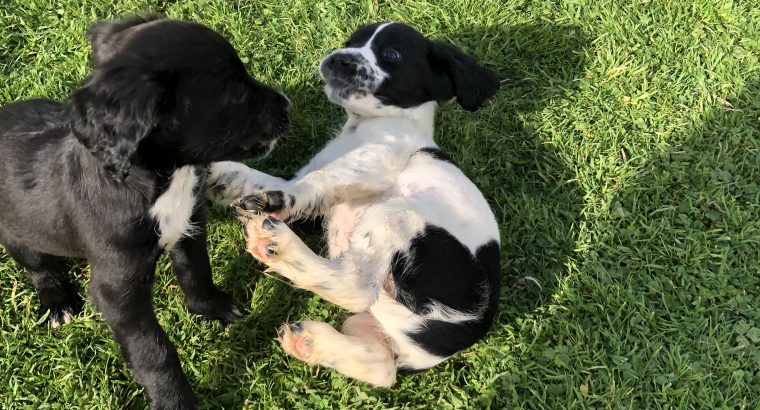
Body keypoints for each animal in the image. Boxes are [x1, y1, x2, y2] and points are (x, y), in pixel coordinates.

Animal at [0, 16, 290, 410]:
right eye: (233, 93)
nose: (288, 106)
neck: (160, 182)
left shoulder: (188, 226)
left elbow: (197, 272)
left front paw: (212, 308)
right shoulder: (118, 291)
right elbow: (153, 351)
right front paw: (174, 400)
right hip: (18, 233)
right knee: (40, 266)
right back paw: (57, 303)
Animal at [211, 21, 502, 388]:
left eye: (392, 54)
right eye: (353, 41)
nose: (339, 59)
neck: (361, 127)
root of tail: (460, 331)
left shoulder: (377, 160)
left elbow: (317, 182)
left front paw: (276, 199)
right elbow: (271, 180)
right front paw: (223, 174)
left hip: (402, 218)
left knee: (356, 286)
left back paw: (279, 245)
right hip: (376, 325)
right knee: (382, 366)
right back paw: (313, 342)